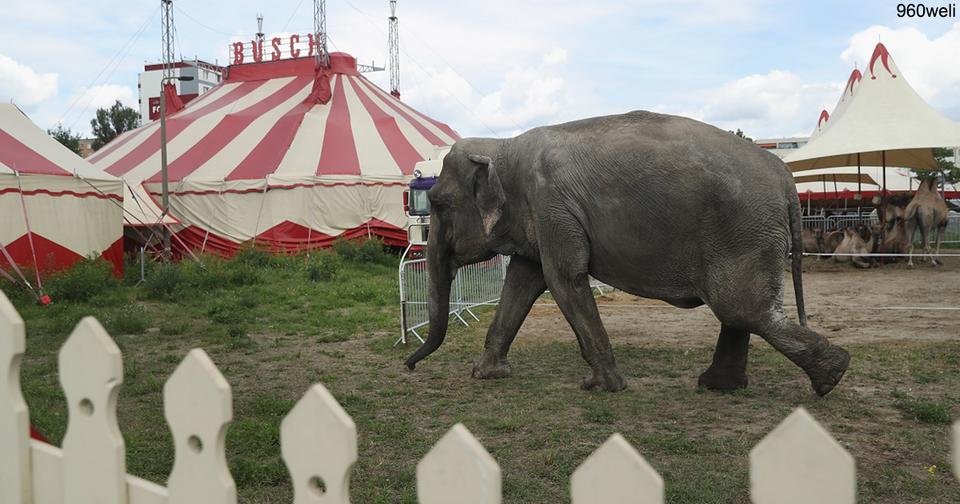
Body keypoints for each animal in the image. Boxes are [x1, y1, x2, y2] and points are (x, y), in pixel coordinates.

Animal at [404, 111, 848, 398]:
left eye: (438, 203)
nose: (407, 365)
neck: (504, 148)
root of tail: (784, 175)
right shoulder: (538, 217)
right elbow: (523, 281)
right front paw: (485, 375)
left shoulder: (552, 207)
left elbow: (563, 278)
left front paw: (601, 387)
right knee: (740, 311)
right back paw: (719, 386)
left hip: (742, 229)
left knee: (741, 308)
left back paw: (832, 377)